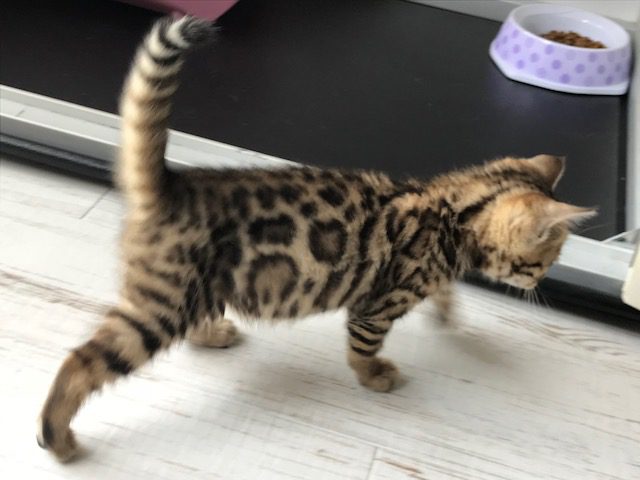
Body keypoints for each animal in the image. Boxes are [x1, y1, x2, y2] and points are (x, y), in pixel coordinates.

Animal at [37, 16, 596, 462]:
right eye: (543, 262)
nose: (539, 285)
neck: (451, 210)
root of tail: (170, 183)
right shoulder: (376, 306)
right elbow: (363, 347)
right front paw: (374, 376)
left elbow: (445, 292)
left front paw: (447, 312)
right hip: (161, 306)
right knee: (79, 360)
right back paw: (57, 437)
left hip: (198, 289)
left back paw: (213, 334)